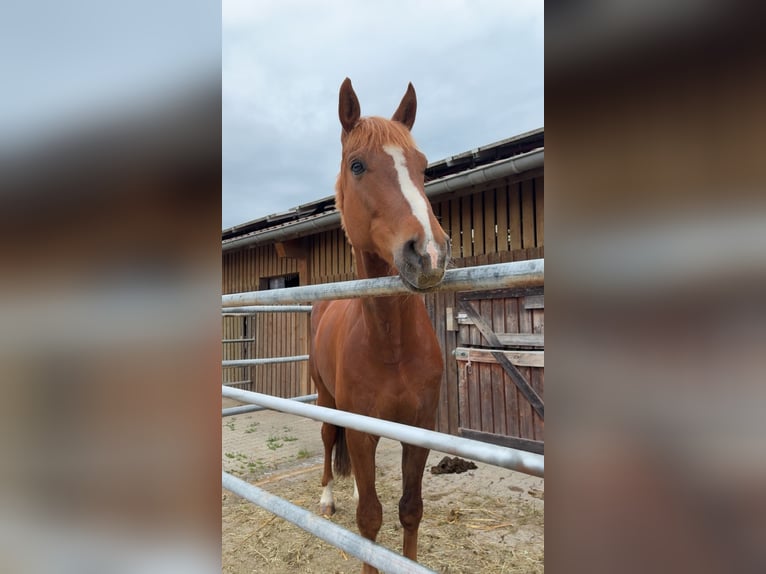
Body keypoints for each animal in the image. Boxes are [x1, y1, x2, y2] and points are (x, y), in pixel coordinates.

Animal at [309, 78, 451, 573]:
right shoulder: (360, 427)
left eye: (423, 166)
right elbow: (369, 522)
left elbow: (410, 510)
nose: (428, 253)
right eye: (357, 165)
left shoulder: (419, 429)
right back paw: (328, 498)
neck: (391, 346)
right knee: (328, 440)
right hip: (326, 399)